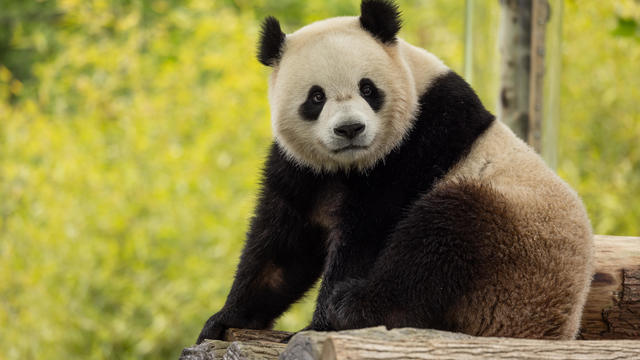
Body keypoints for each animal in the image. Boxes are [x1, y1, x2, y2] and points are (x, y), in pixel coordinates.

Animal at [196, 0, 596, 344]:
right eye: (316, 97)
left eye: (367, 88)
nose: (350, 129)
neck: (349, 166)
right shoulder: (303, 169)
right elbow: (282, 246)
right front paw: (225, 319)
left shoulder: (416, 144)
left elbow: (367, 235)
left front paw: (319, 325)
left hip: (514, 250)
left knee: (440, 239)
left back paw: (353, 306)